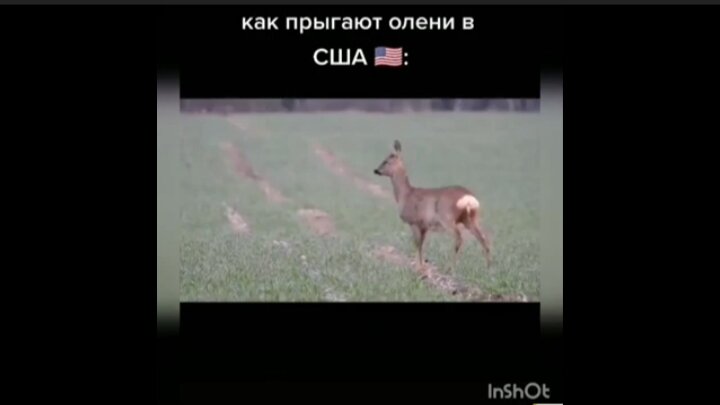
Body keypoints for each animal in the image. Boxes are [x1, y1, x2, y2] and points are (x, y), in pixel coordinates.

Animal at [373, 140, 492, 277]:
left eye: (386, 160)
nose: (376, 170)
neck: (406, 194)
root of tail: (468, 198)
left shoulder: (414, 222)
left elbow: (417, 244)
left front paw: (418, 269)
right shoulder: (424, 226)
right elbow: (422, 245)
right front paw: (422, 267)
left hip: (447, 218)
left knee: (459, 238)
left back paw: (450, 269)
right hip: (470, 219)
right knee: (483, 238)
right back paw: (488, 269)